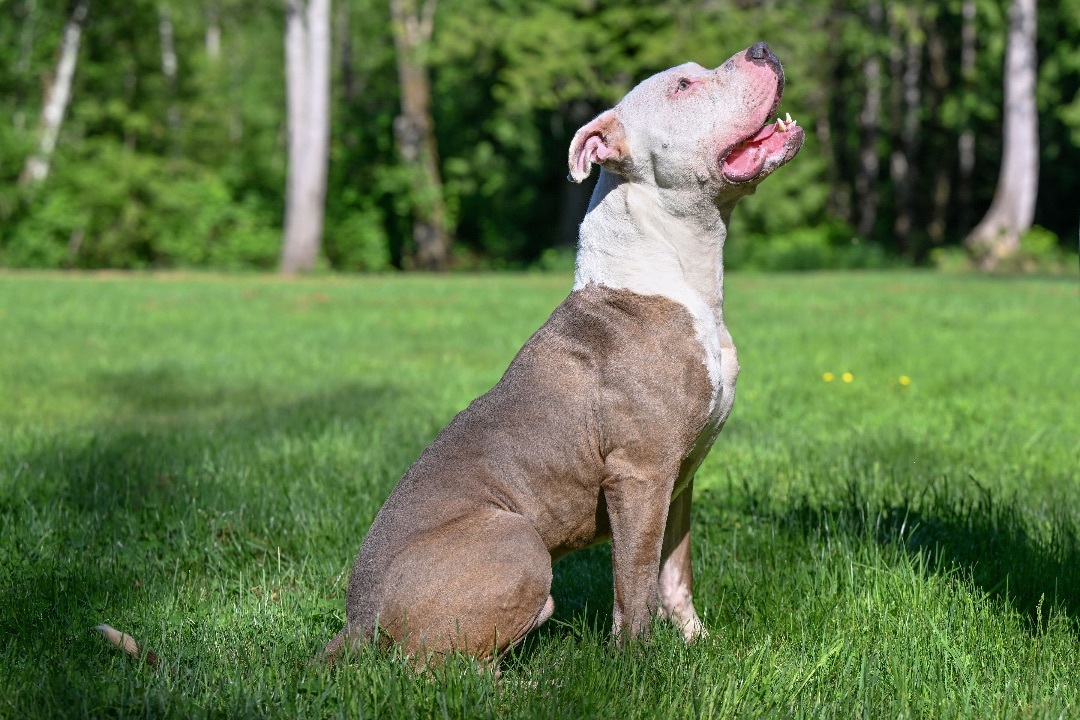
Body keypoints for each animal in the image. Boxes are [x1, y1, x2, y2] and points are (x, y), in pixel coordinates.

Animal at [321, 43, 803, 664]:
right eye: (683, 86)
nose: (762, 49)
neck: (675, 273)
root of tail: (357, 620)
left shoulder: (679, 477)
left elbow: (674, 573)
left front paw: (697, 642)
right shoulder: (640, 474)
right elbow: (635, 583)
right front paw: (636, 664)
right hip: (518, 539)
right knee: (437, 666)